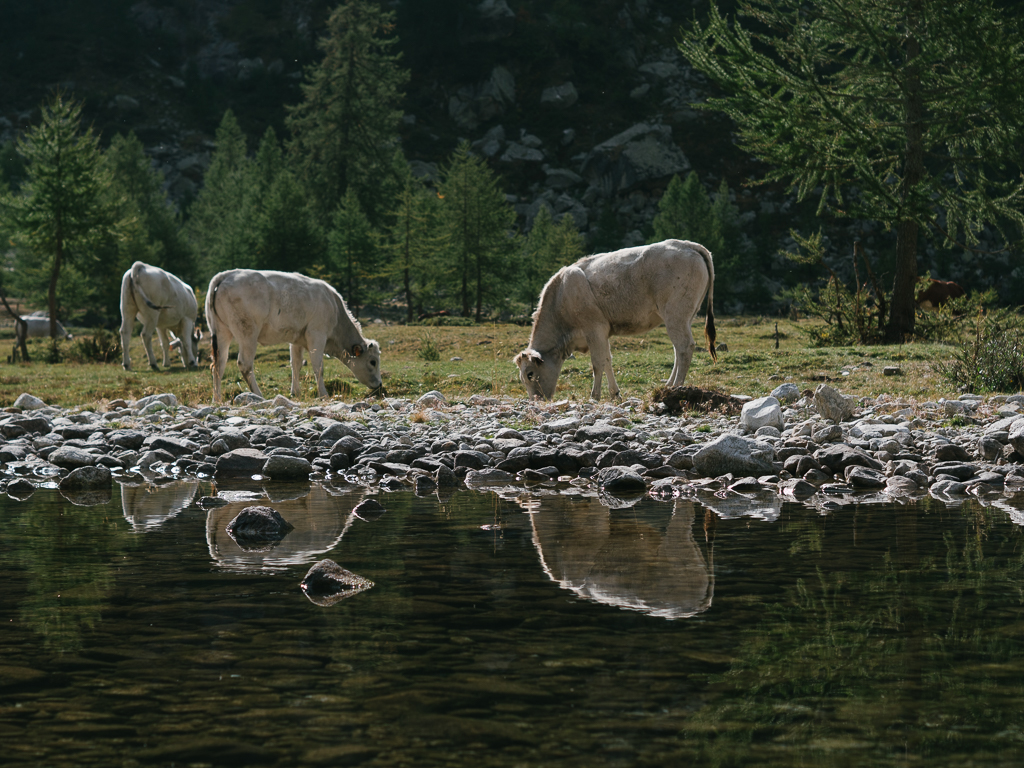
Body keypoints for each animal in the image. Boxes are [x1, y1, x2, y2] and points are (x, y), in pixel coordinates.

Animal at [205, 270, 382, 403]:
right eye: (372, 362)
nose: (380, 384)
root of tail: (227, 275)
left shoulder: (297, 338)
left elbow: (295, 364)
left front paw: (295, 392)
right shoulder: (317, 334)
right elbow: (318, 367)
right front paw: (323, 394)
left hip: (221, 331)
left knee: (219, 365)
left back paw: (217, 399)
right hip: (247, 332)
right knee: (244, 364)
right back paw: (259, 396)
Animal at [516, 239, 716, 403]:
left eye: (530, 374)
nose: (535, 401)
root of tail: (687, 244)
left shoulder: (594, 328)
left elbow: (597, 363)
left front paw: (594, 396)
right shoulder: (602, 332)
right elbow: (607, 361)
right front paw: (615, 394)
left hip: (675, 314)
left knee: (684, 347)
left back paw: (676, 388)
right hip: (685, 317)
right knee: (678, 350)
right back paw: (668, 385)